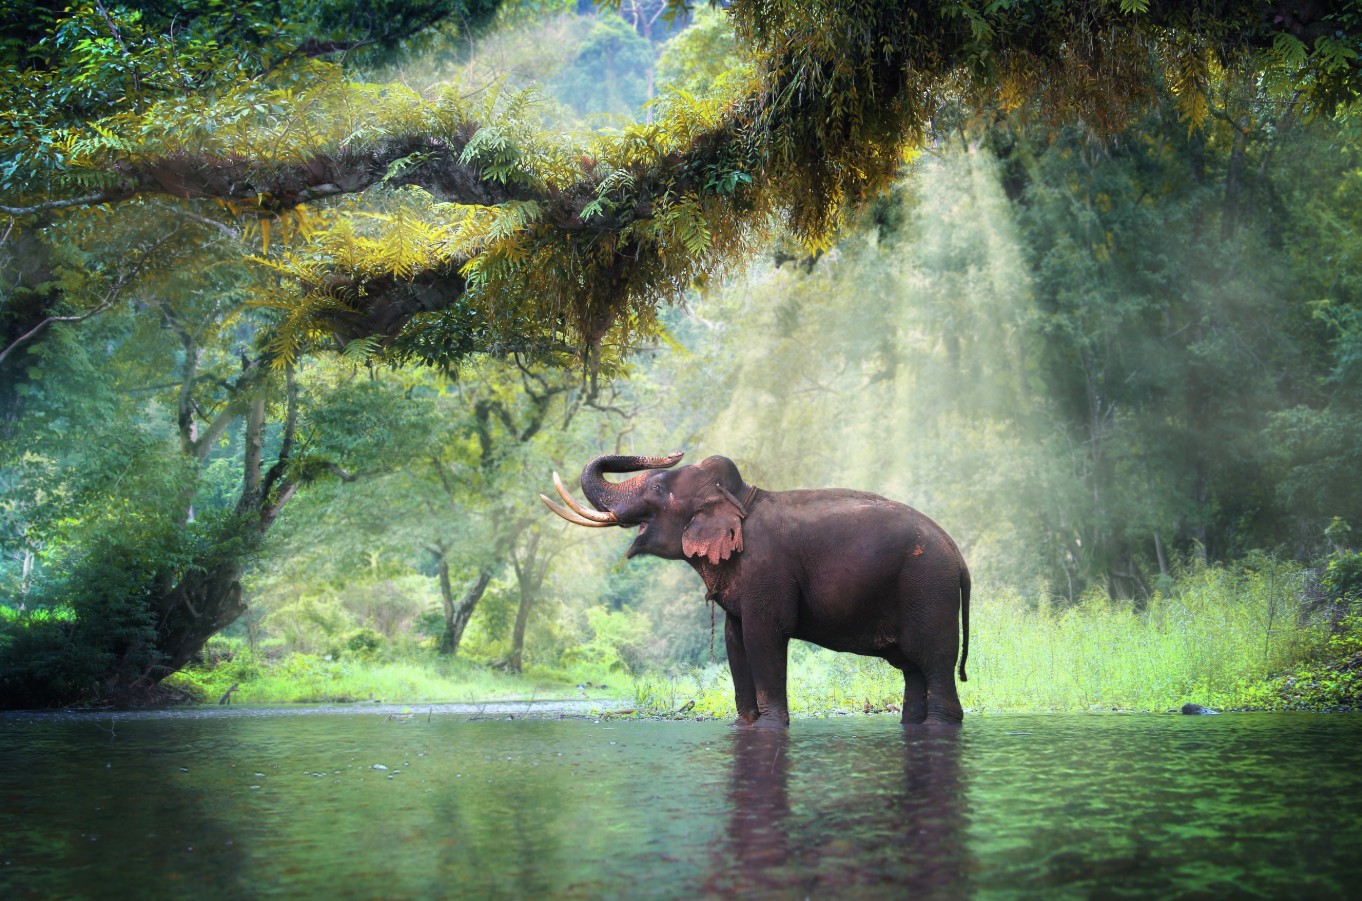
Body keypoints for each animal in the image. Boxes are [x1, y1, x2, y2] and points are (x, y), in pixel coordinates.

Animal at [541, 451, 970, 727]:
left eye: (660, 488)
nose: (673, 452)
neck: (742, 496)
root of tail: (959, 558)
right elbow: (735, 641)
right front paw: (744, 725)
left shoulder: (768, 569)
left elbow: (765, 636)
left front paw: (770, 726)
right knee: (913, 670)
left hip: (929, 590)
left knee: (934, 663)